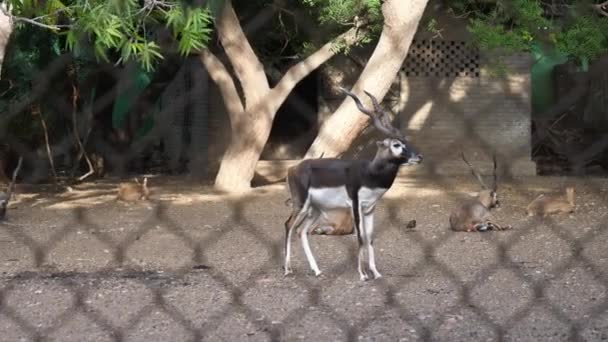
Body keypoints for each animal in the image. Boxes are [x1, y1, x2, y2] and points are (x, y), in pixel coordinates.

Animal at [284, 86, 422, 280]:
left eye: (405, 143)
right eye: (396, 145)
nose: (418, 157)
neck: (370, 172)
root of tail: (293, 168)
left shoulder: (370, 208)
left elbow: (370, 238)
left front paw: (376, 273)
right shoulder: (355, 204)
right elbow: (360, 237)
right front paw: (363, 274)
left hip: (316, 209)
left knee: (301, 231)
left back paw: (317, 270)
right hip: (301, 205)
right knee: (289, 225)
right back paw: (288, 269)